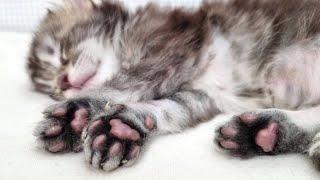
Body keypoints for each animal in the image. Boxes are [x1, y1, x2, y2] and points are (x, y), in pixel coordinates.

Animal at [28, 0, 320, 172]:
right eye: (51, 89)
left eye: (61, 51)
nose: (63, 83)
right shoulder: (200, 95)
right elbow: (166, 109)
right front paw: (121, 127)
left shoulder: (174, 49)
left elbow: (124, 85)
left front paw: (77, 112)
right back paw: (263, 131)